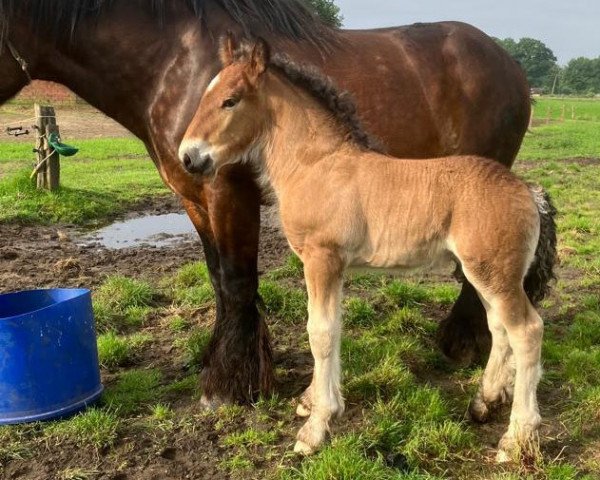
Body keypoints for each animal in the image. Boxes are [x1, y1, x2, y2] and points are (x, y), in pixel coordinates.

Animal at [0, 0, 556, 408]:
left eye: (229, 101)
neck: (170, 61)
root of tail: (509, 62)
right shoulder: (193, 196)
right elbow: (220, 281)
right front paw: (226, 369)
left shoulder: (227, 192)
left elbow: (239, 280)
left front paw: (231, 386)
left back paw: (461, 347)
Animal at [179, 36, 548, 462]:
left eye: (230, 100)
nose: (188, 156)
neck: (315, 164)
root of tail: (529, 192)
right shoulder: (335, 266)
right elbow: (333, 328)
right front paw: (314, 402)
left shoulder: (322, 259)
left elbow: (319, 332)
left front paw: (315, 427)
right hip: (486, 274)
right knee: (499, 328)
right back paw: (484, 402)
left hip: (495, 275)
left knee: (527, 331)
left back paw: (516, 438)